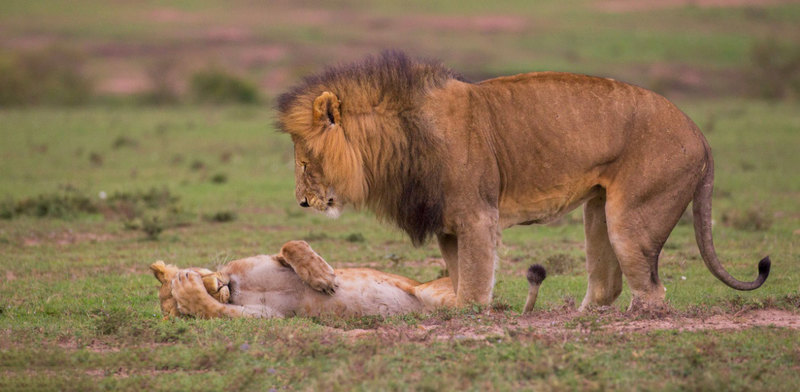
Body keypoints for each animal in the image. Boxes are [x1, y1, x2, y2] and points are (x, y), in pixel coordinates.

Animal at [276, 51, 768, 310]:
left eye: (305, 163)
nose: (301, 203)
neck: (398, 141)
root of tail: (700, 135)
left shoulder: (477, 216)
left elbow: (474, 284)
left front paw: (469, 314)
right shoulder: (448, 228)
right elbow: (459, 278)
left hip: (633, 217)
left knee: (653, 291)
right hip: (598, 211)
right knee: (606, 284)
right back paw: (579, 320)